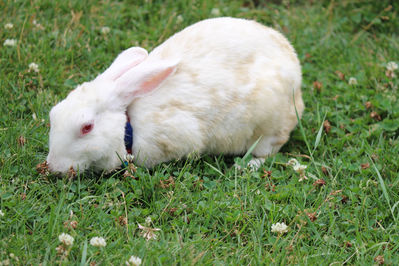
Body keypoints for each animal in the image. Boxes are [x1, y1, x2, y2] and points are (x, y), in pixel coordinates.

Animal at [46, 17, 304, 174]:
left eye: (86, 127)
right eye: (53, 114)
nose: (52, 166)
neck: (128, 125)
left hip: (269, 125)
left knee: (269, 150)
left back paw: (247, 166)